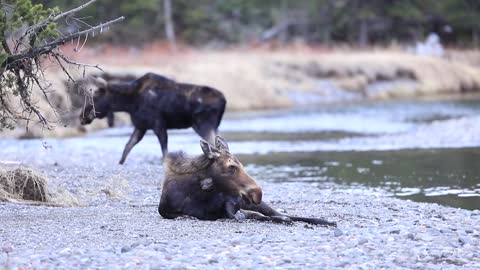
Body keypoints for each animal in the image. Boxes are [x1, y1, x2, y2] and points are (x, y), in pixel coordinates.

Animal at [79, 72, 227, 165]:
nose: (82, 116)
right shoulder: (141, 126)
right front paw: (120, 163)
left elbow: (164, 151)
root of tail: (224, 101)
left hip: (203, 124)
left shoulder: (158, 125)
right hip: (213, 126)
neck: (129, 103)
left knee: (214, 145)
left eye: (95, 98)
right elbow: (128, 145)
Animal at [158, 135, 338, 226]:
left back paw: (323, 221)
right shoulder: (165, 209)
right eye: (231, 166)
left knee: (282, 214)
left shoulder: (234, 203)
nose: (257, 192)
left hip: (257, 204)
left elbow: (244, 214)